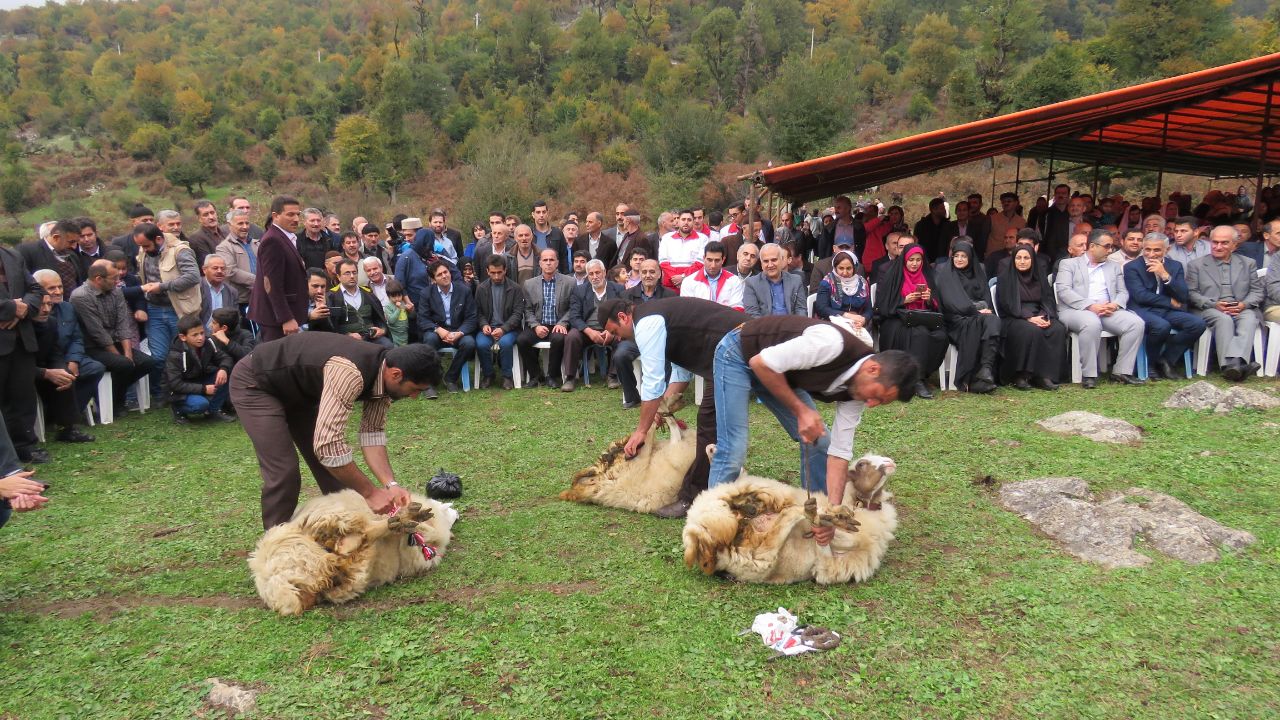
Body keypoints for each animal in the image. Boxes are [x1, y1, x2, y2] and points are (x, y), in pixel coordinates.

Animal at [247, 486, 458, 609]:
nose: (457, 513)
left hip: (345, 571)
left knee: (353, 548)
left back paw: (402, 521)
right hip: (328, 522)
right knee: (366, 531)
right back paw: (406, 518)